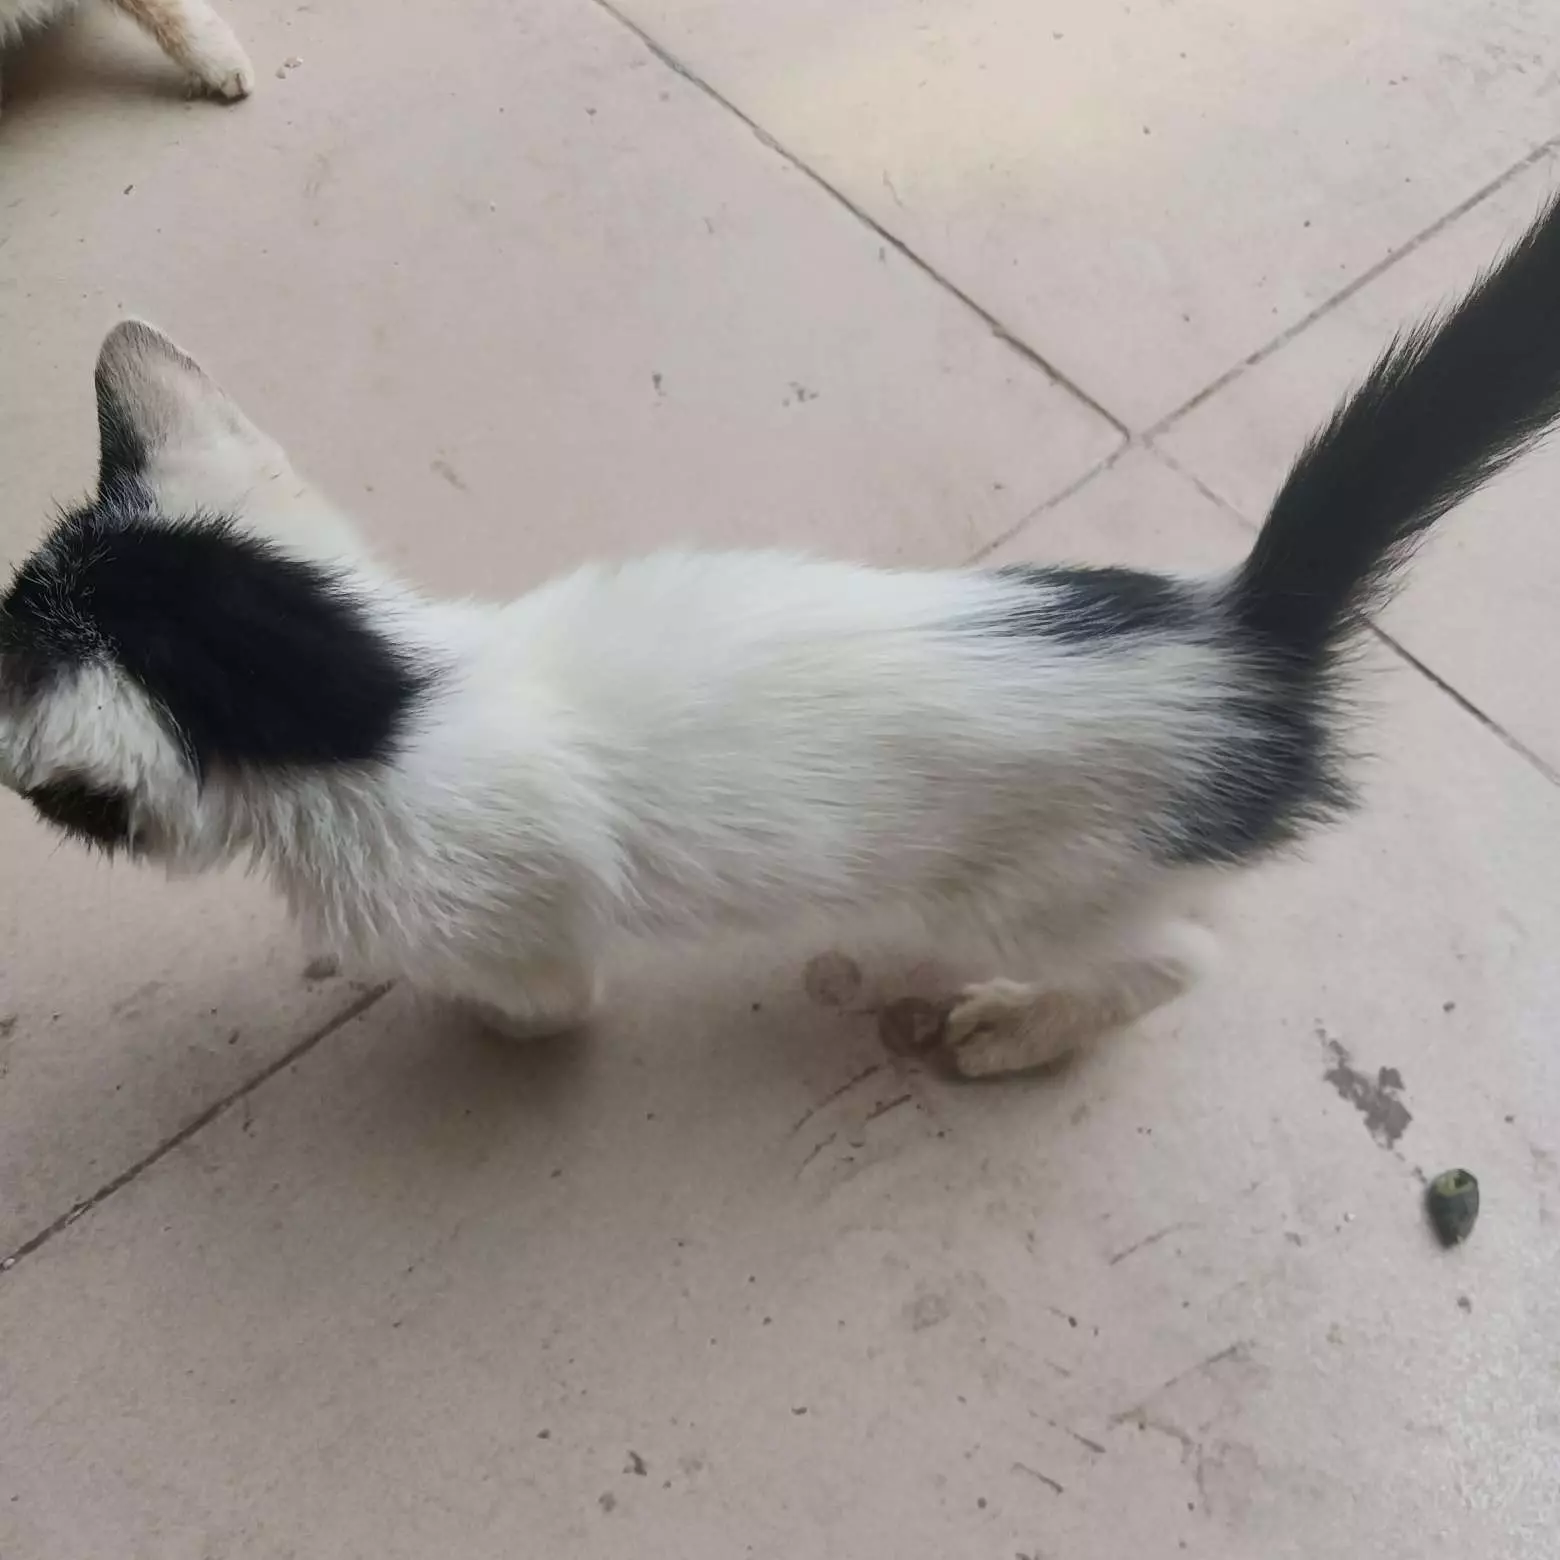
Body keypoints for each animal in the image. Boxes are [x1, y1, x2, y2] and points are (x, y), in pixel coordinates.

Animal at [3, 190, 1560, 1079]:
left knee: (1177, 964)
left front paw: (446, 1015)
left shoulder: (523, 934)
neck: (381, 688)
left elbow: (541, 1006)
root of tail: (1244, 629)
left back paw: (1021, 1029)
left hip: (1037, 886)